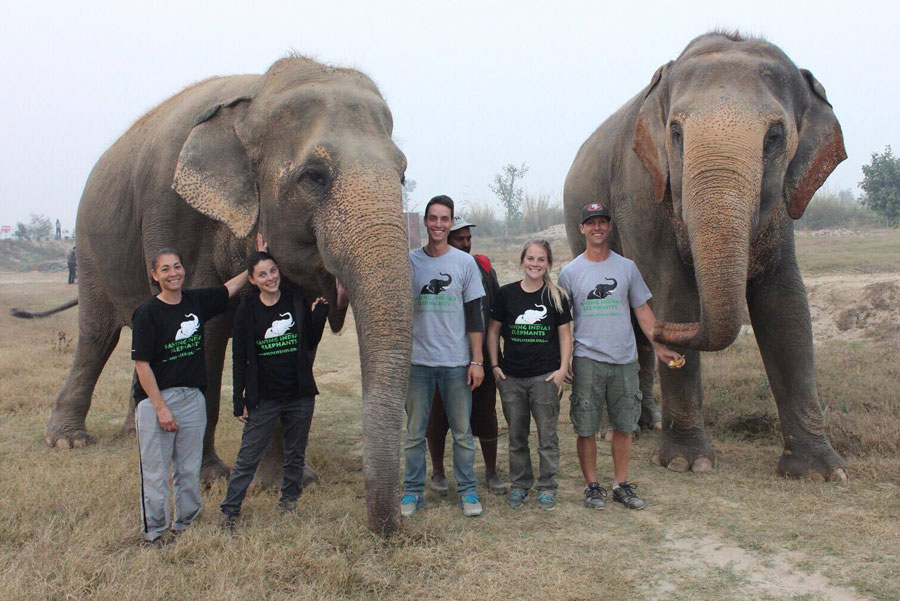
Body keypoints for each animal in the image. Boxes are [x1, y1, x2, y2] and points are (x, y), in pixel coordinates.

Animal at [30, 56, 412, 536]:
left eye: (403, 175)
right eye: (314, 176)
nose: (388, 529)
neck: (255, 102)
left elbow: (299, 341)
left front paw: (289, 482)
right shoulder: (172, 211)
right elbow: (205, 336)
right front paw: (211, 478)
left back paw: (134, 432)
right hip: (91, 248)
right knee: (97, 337)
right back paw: (68, 441)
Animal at [568, 32, 848, 480]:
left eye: (774, 136)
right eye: (676, 132)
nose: (666, 332)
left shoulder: (779, 213)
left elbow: (786, 304)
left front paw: (820, 471)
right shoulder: (642, 190)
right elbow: (673, 292)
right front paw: (688, 462)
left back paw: (646, 423)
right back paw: (612, 429)